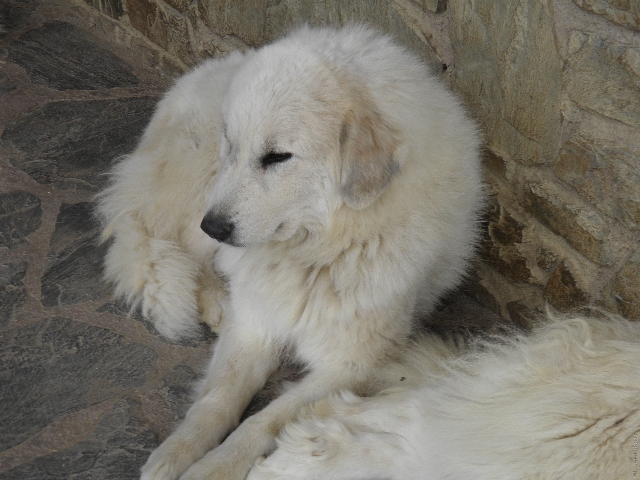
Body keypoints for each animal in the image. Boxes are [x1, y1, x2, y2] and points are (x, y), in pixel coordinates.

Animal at [97, 25, 482, 480]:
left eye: (277, 156)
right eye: (233, 145)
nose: (214, 226)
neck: (317, 251)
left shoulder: (350, 364)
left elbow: (265, 420)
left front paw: (215, 467)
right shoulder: (255, 325)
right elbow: (216, 400)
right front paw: (178, 451)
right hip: (199, 186)